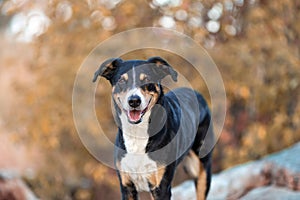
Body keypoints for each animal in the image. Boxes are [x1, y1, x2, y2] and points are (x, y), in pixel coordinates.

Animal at [93, 57, 213, 199]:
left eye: (146, 80)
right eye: (122, 80)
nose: (134, 101)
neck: (137, 133)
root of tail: (197, 94)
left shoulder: (161, 187)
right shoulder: (127, 186)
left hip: (202, 168)